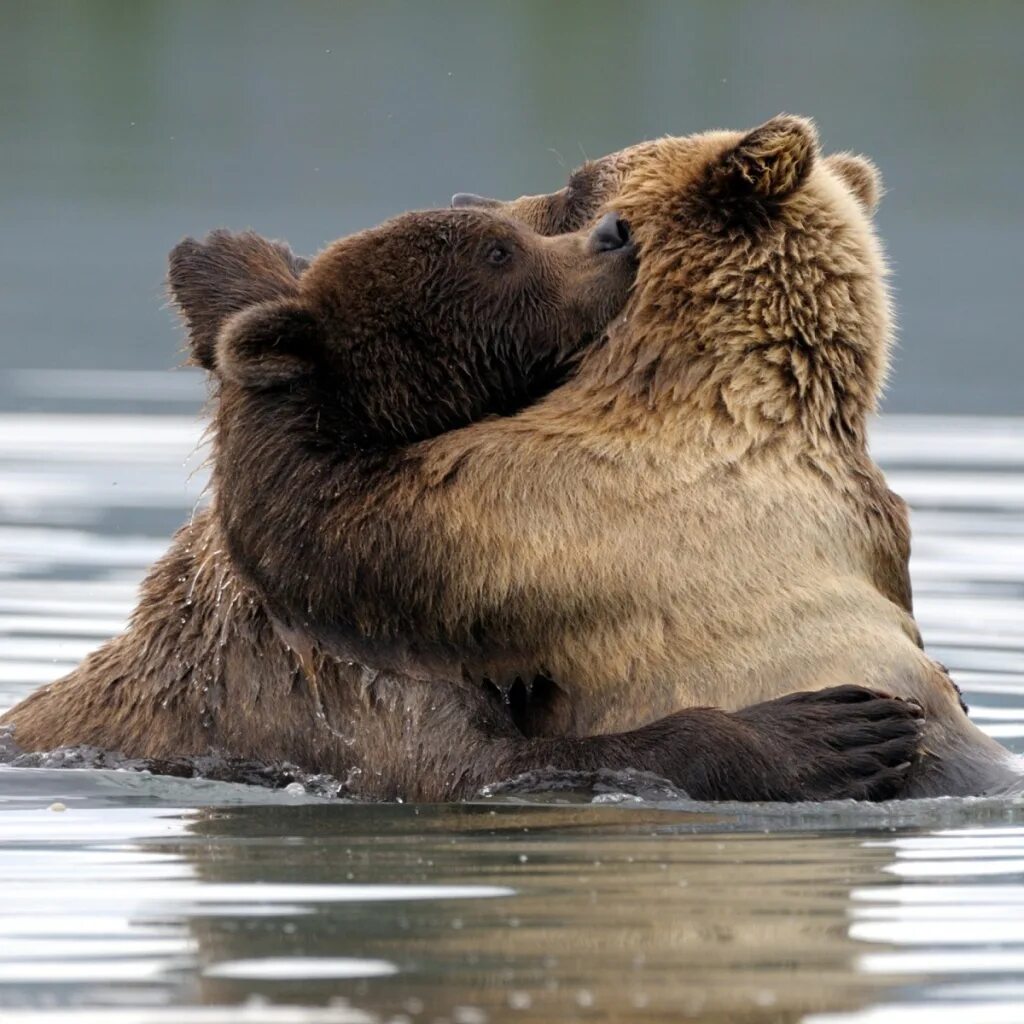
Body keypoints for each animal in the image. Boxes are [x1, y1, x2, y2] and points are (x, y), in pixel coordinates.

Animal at [0, 202, 926, 803]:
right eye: (497, 253)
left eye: (509, 232)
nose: (614, 233)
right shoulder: (346, 694)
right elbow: (483, 769)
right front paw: (837, 732)